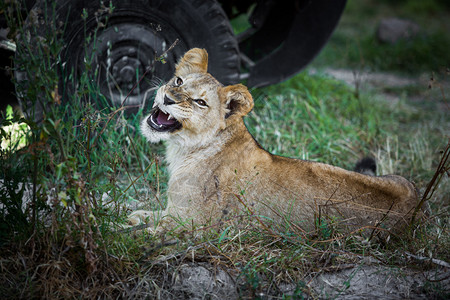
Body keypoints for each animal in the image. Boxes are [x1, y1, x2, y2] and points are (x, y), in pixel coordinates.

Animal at [136, 48, 418, 233]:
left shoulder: (188, 226)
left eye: (200, 102)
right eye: (178, 81)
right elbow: (142, 215)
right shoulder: (173, 213)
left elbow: (143, 234)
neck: (184, 150)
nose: (168, 98)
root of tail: (415, 205)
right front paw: (135, 215)